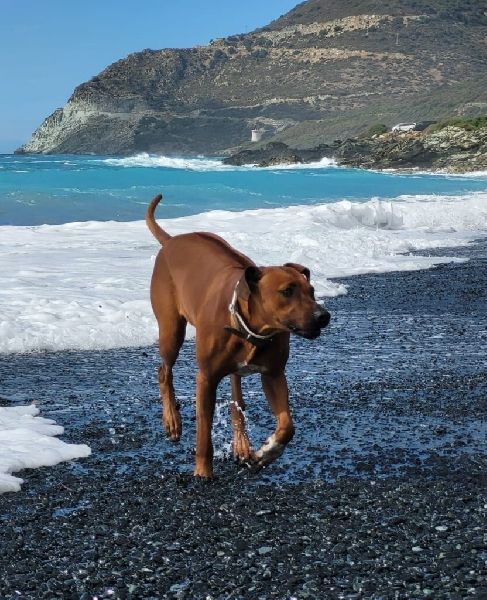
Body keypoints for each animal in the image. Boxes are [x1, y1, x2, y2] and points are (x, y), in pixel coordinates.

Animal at [146, 194, 330, 477]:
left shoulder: (274, 373)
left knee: (236, 400)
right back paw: (172, 420)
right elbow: (203, 432)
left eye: (311, 291)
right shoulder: (206, 378)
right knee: (163, 370)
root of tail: (171, 241)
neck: (253, 330)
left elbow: (287, 426)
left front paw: (266, 452)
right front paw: (203, 472)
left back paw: (242, 444)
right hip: (171, 330)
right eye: (287, 291)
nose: (324, 316)